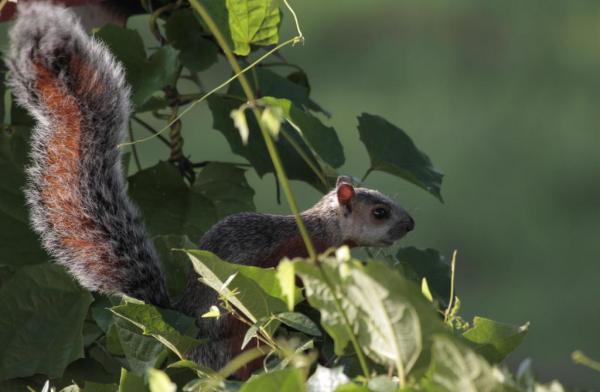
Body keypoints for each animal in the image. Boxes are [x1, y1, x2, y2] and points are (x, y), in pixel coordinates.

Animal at [4, 1, 414, 376]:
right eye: (380, 212)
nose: (410, 225)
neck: (322, 231)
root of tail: (185, 336)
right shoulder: (295, 257)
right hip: (232, 333)